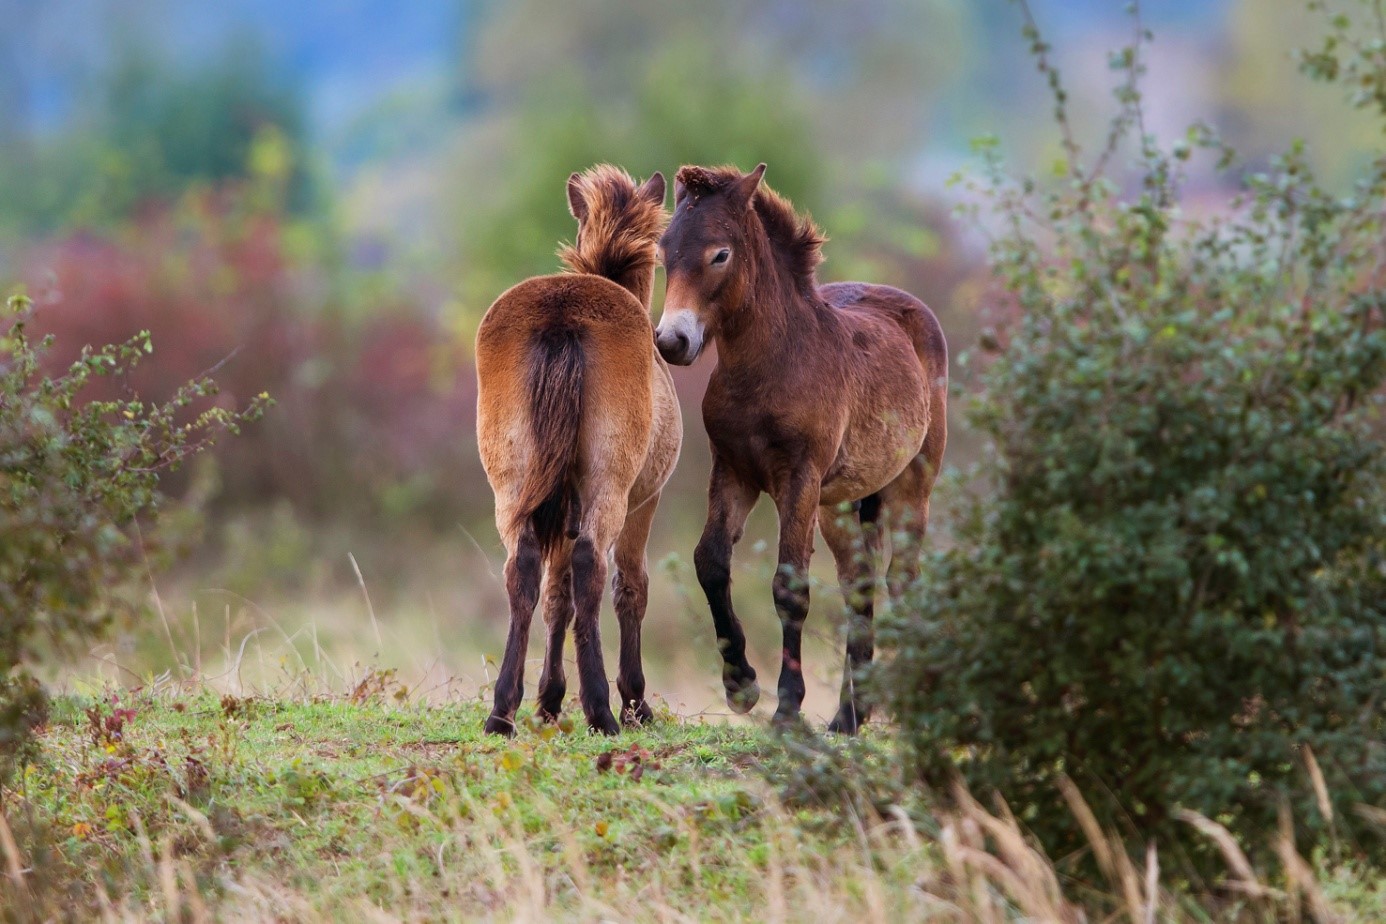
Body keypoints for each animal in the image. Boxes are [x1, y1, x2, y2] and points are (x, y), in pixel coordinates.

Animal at [474, 162, 679, 731]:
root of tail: (562, 312)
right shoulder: (645, 501)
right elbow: (630, 588)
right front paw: (634, 700)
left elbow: (555, 598)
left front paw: (547, 698)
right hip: (608, 490)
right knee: (593, 567)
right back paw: (602, 709)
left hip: (514, 487)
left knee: (522, 571)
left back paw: (502, 710)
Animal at [654, 162, 948, 731]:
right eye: (663, 250)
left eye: (720, 254)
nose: (672, 341)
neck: (769, 367)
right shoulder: (733, 471)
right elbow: (710, 560)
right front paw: (741, 685)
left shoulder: (798, 477)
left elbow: (790, 587)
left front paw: (787, 710)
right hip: (839, 506)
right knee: (859, 584)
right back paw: (848, 717)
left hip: (911, 486)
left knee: (901, 579)